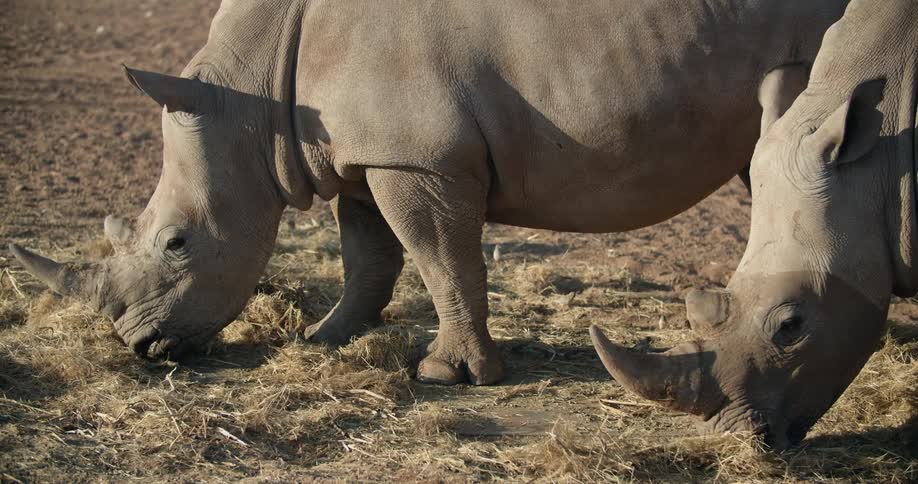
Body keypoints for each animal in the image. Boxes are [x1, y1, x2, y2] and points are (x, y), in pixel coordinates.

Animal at [9, 0, 852, 389]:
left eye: (177, 242)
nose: (138, 347)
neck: (249, 97)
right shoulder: (359, 151)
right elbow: (367, 256)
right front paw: (324, 339)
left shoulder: (418, 159)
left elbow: (441, 260)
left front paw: (450, 375)